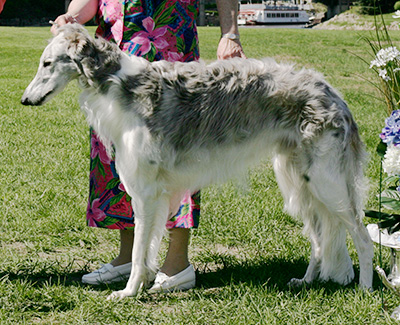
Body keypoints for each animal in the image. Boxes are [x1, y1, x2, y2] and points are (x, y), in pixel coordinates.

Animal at [21, 24, 372, 298]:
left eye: (47, 63)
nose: (24, 100)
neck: (119, 82)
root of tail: (334, 96)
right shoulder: (150, 193)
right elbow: (144, 250)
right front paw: (140, 285)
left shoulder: (146, 191)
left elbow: (138, 252)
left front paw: (128, 292)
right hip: (301, 182)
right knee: (319, 239)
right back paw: (306, 281)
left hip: (327, 183)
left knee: (362, 235)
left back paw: (365, 289)